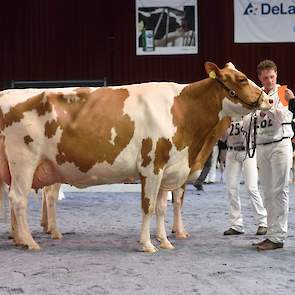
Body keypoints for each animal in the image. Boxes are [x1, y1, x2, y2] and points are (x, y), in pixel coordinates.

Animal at [0, 61, 272, 252]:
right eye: (242, 79)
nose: (269, 99)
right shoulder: (152, 166)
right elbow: (148, 206)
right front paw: (147, 244)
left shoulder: (168, 169)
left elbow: (162, 207)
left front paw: (165, 241)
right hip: (23, 161)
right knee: (19, 199)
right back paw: (30, 242)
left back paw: (20, 238)